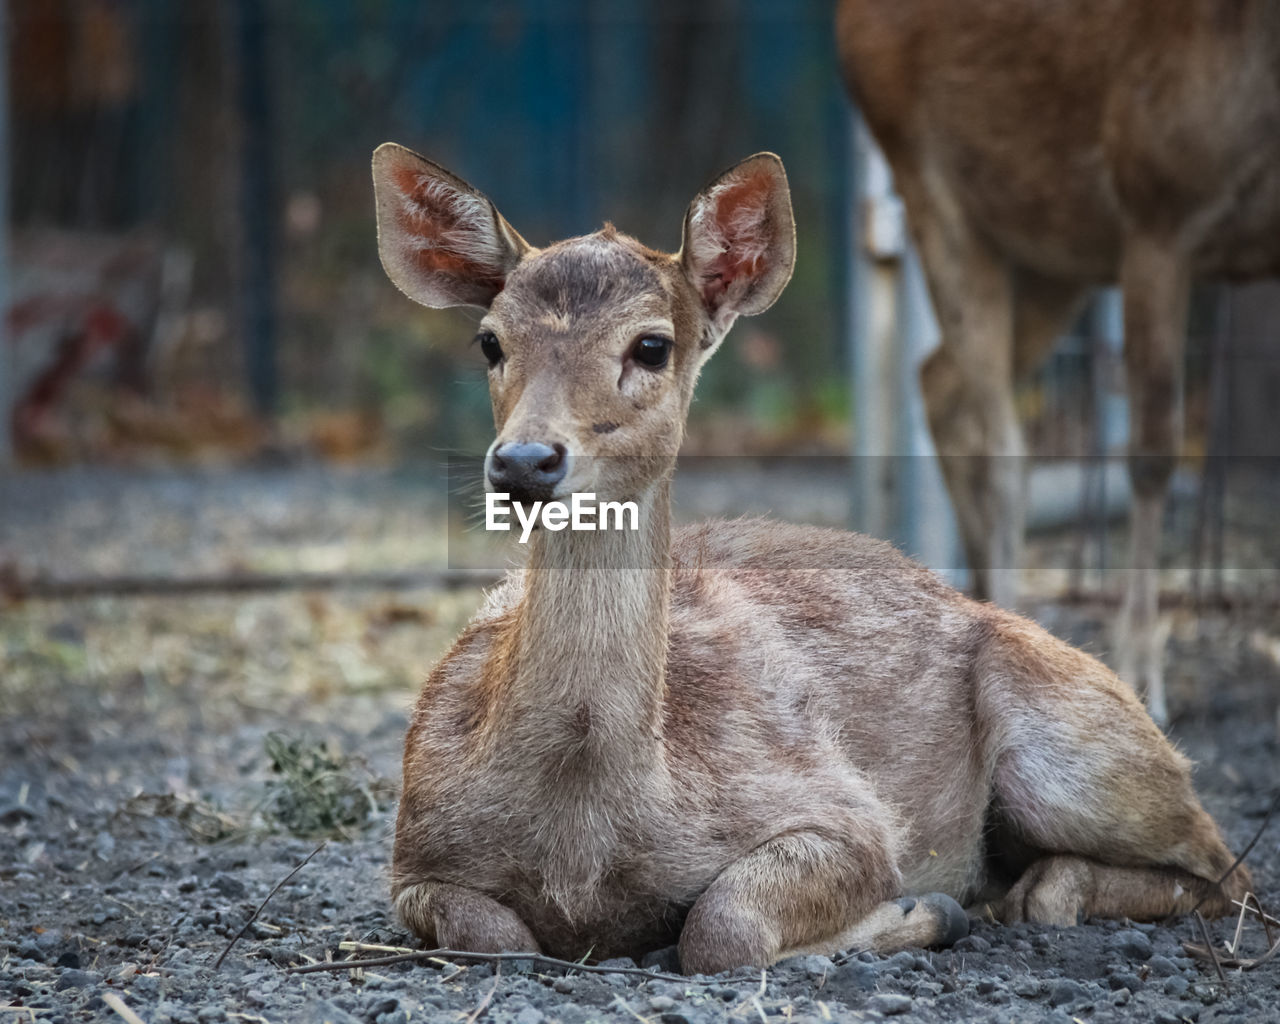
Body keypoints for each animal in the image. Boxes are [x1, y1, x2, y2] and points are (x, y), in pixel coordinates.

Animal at [371, 145, 1249, 977]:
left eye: (651, 345)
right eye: (490, 340)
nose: (524, 461)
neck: (584, 831)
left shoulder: (846, 812)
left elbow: (724, 924)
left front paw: (918, 911)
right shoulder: (413, 850)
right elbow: (492, 935)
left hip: (1075, 743)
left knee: (1221, 867)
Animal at [834, 0, 1280, 721]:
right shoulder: (1157, 206)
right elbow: (1153, 452)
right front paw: (1144, 675)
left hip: (1056, 250)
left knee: (941, 382)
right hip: (937, 188)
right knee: (998, 440)